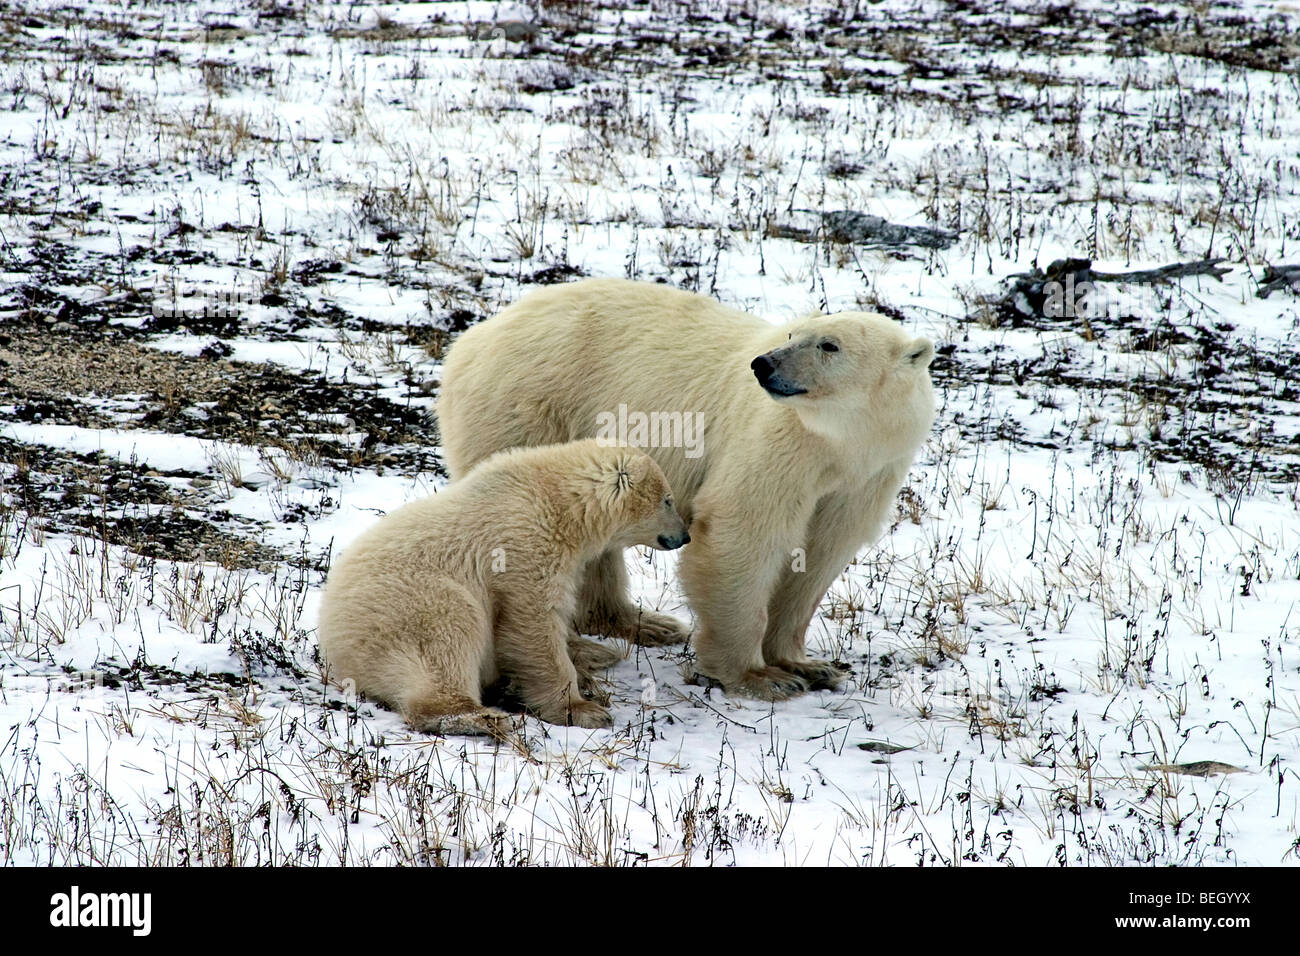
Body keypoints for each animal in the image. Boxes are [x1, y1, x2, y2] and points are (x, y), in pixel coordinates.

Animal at [314, 437, 691, 738]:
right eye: (668, 499)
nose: (684, 535)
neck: (557, 499)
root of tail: (331, 635)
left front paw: (595, 654)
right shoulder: (523, 545)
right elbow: (532, 624)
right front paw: (582, 709)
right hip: (407, 604)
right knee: (446, 637)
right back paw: (482, 717)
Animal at [436, 277, 935, 702]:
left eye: (829, 344)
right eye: (795, 332)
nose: (764, 364)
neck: (841, 443)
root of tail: (469, 340)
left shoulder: (867, 474)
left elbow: (820, 553)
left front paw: (807, 665)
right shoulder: (780, 442)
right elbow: (744, 533)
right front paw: (758, 676)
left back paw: (641, 624)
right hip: (531, 408)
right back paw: (586, 647)